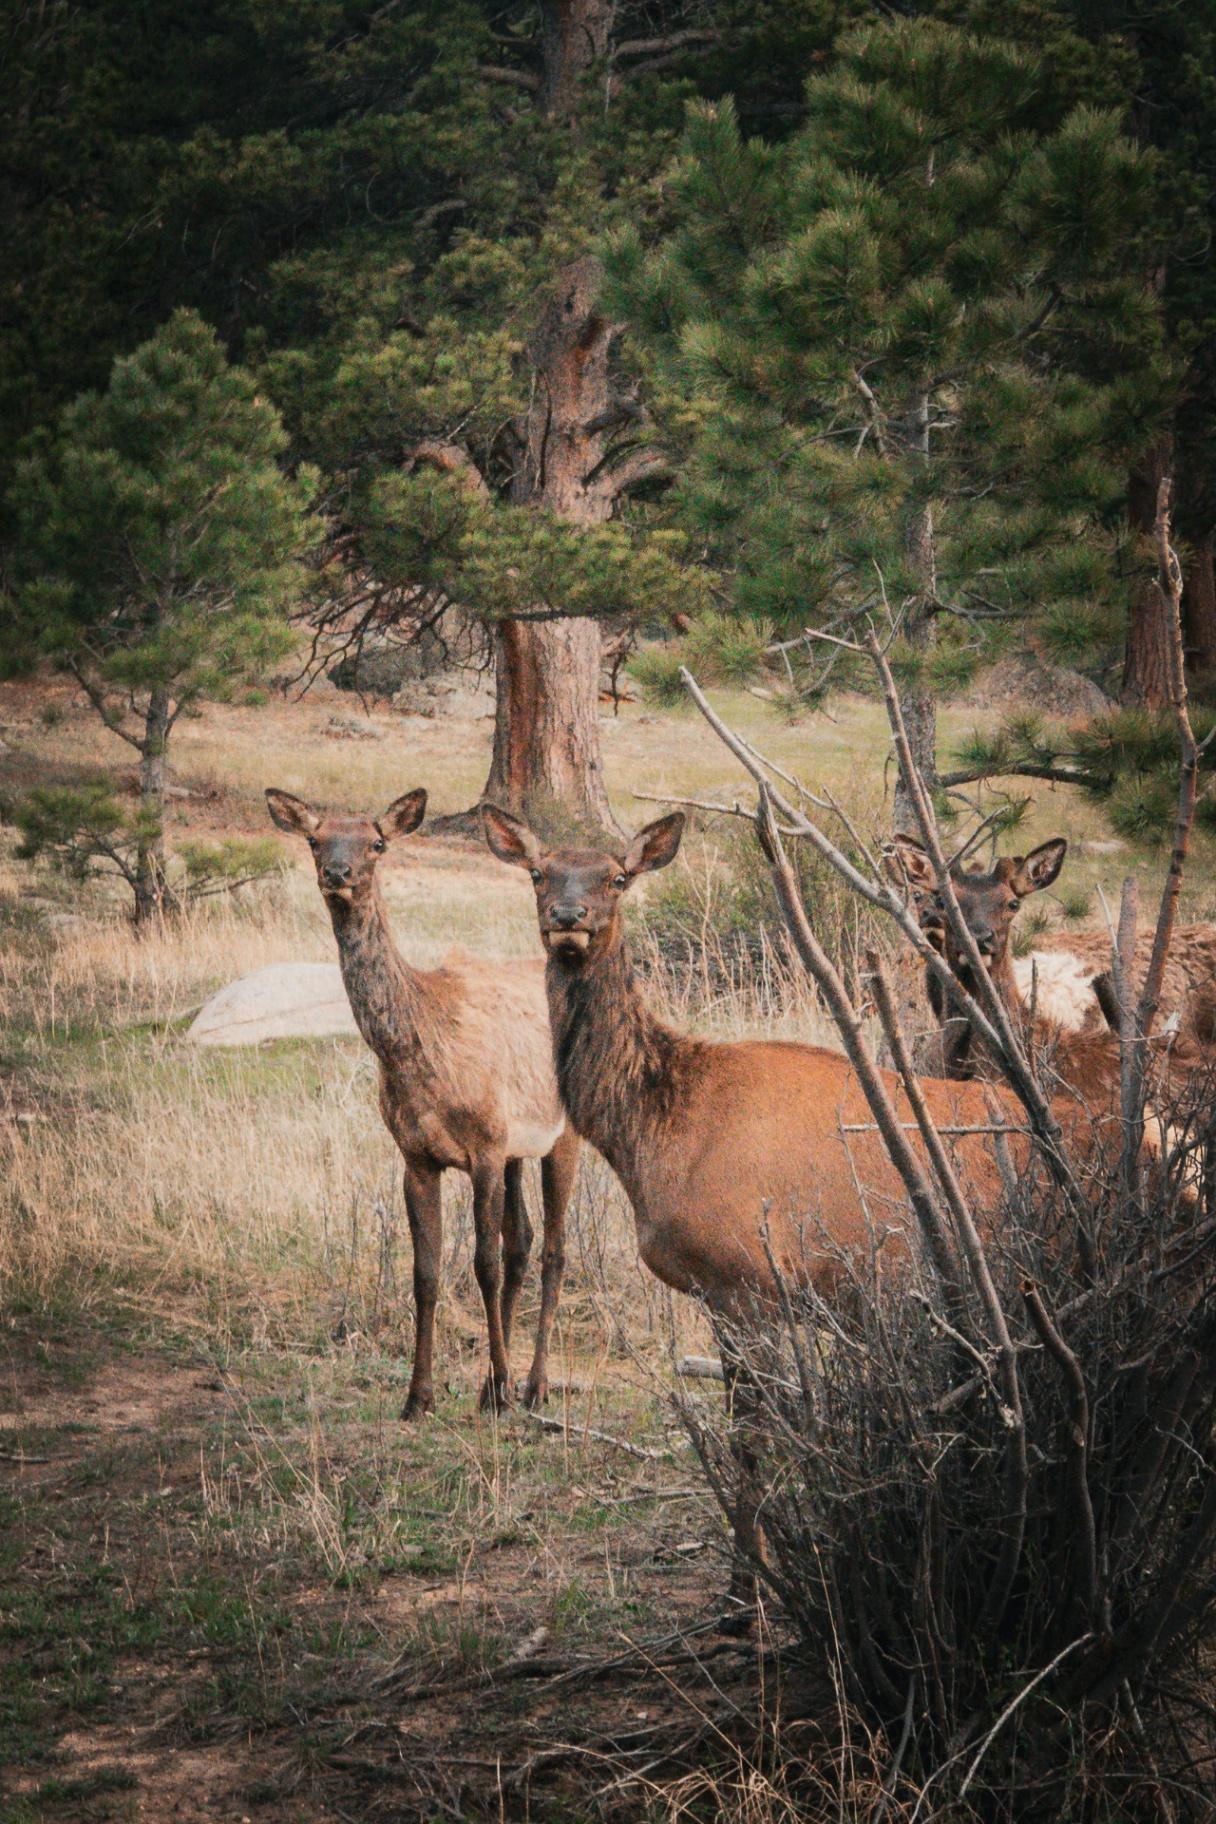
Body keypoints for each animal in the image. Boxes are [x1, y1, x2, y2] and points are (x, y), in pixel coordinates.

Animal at [265, 788, 580, 1419]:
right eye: (315, 838)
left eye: (376, 843)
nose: (338, 873)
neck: (419, 1052)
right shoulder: (416, 1155)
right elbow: (427, 1273)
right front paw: (419, 1395)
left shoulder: (484, 1147)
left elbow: (482, 1264)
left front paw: (500, 1388)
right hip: (517, 1152)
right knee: (524, 1242)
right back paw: (496, 1383)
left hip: (562, 1137)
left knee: (554, 1251)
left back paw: (531, 1385)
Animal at [481, 804, 1133, 1602]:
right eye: (539, 874)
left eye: (616, 876)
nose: (568, 919)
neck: (658, 1133)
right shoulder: (727, 1294)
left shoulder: (749, 1281)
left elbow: (752, 1434)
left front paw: (746, 1585)